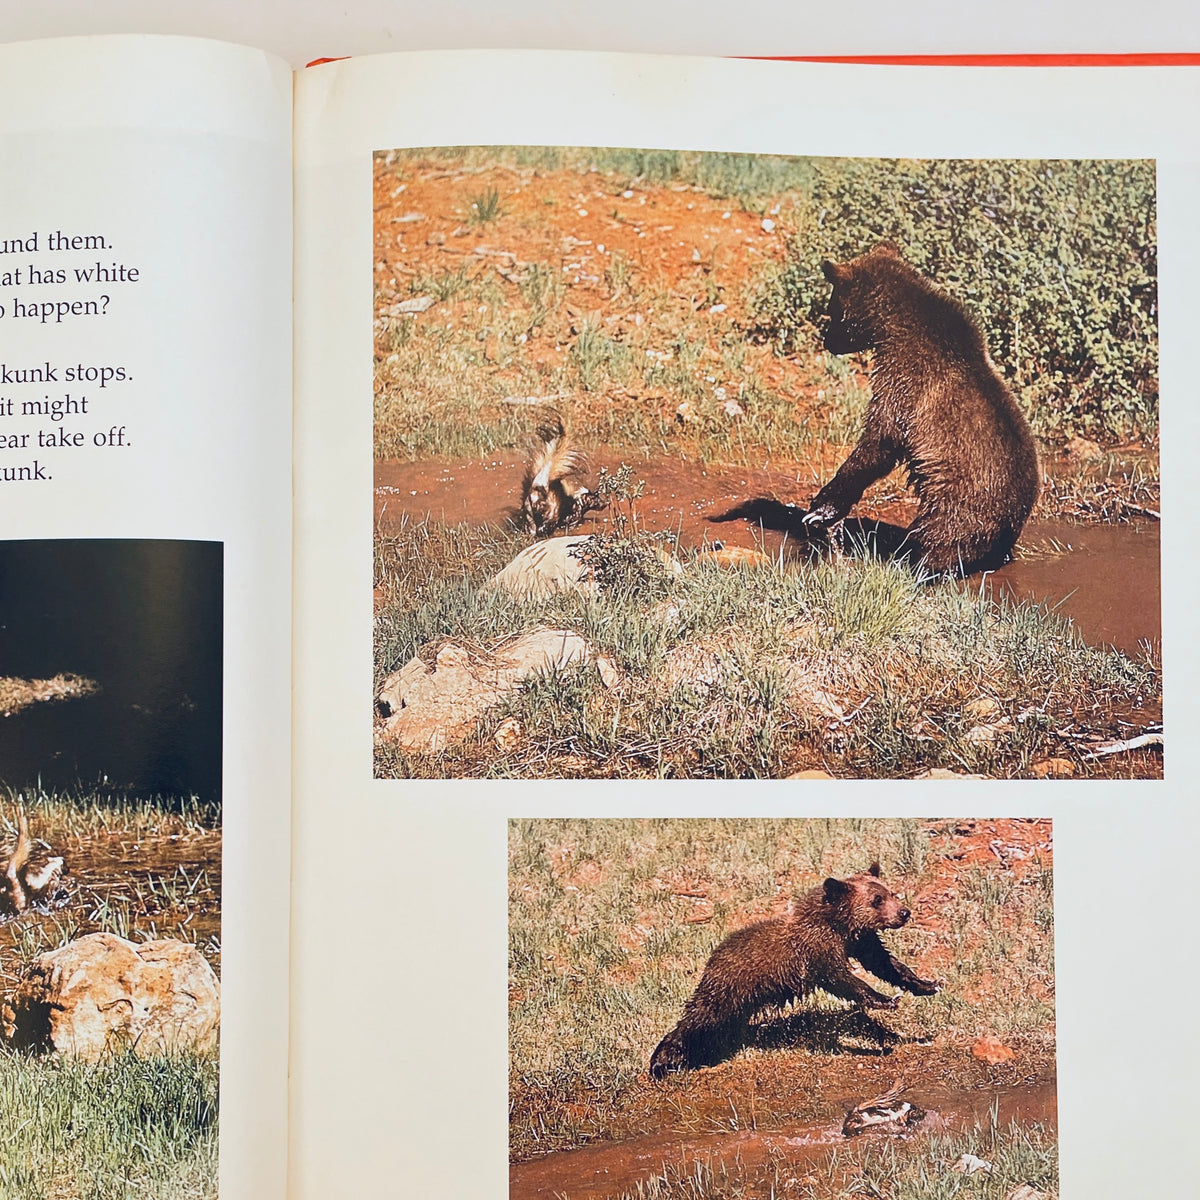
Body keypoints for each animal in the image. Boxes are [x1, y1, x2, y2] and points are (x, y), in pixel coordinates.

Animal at [649, 863, 938, 1079]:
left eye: (890, 893)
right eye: (876, 900)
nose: (904, 912)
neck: (838, 926)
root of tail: (713, 957)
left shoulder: (860, 941)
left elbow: (885, 963)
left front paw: (926, 984)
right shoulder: (818, 949)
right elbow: (841, 979)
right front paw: (885, 1000)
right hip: (729, 986)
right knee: (699, 1017)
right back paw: (663, 1060)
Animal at [802, 242, 1040, 577]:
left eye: (832, 308)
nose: (827, 341)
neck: (892, 328)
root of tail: (1016, 518)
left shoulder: (905, 381)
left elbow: (879, 441)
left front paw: (821, 509)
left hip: (960, 504)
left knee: (938, 539)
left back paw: (909, 561)